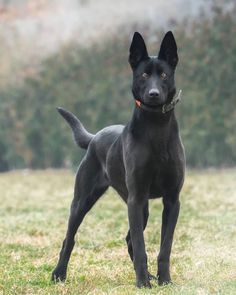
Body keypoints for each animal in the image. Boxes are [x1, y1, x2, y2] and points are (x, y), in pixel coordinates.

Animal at [52, 31, 185, 288]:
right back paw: (58, 274)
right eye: (144, 74)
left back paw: (150, 275)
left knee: (130, 239)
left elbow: (165, 247)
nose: (153, 95)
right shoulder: (136, 198)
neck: (156, 127)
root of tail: (94, 137)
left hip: (141, 207)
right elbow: (142, 246)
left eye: (164, 75)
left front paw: (164, 280)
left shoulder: (172, 200)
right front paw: (142, 284)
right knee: (69, 239)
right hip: (83, 201)